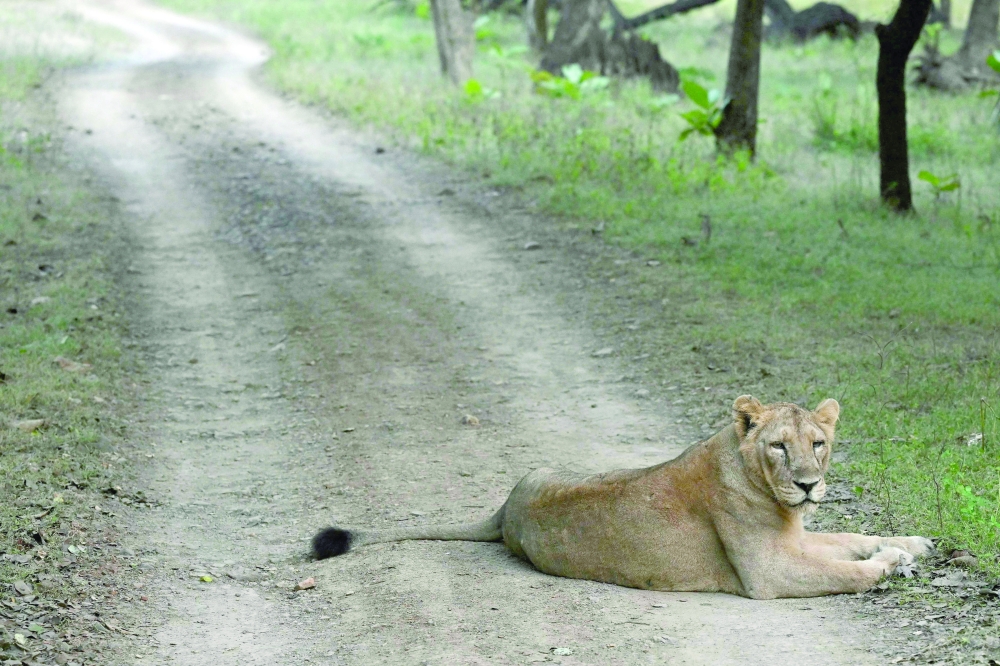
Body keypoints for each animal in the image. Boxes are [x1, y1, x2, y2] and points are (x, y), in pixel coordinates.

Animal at [312, 396, 933, 599]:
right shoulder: (769, 571)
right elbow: (847, 569)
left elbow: (849, 538)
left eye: (818, 444)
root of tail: (509, 503)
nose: (807, 483)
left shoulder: (796, 537)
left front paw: (912, 543)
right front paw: (891, 563)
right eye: (780, 446)